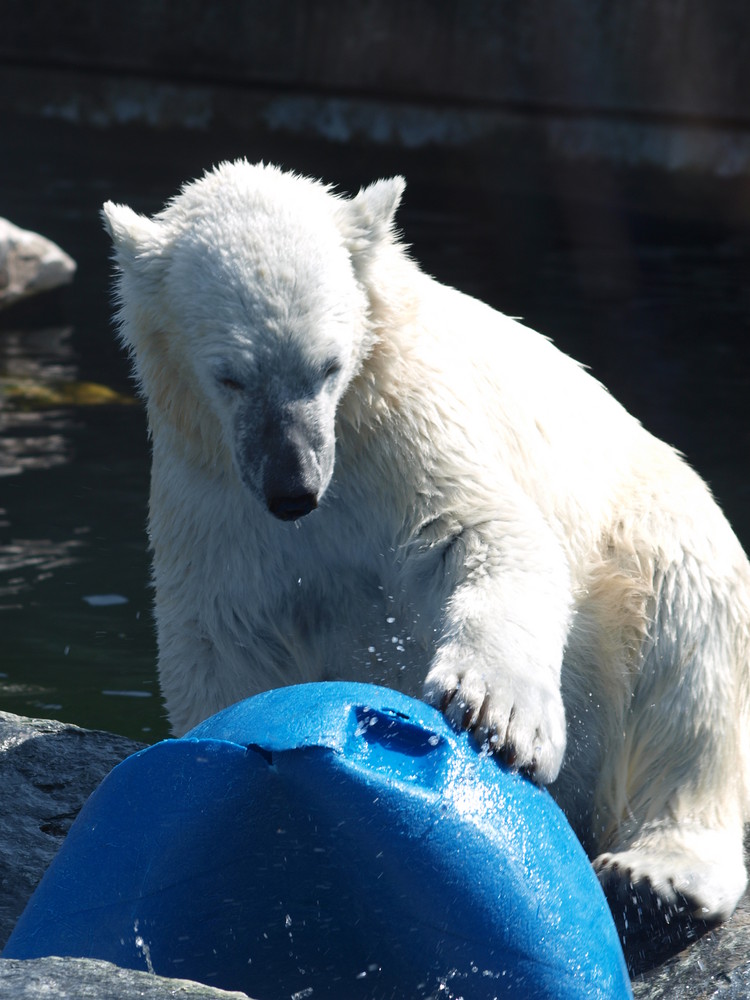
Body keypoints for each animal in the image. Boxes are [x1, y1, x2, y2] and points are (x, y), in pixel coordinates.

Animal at [104, 162, 750, 960]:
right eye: (231, 376)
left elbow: (485, 535)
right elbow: (224, 634)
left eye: (328, 366)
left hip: (654, 528)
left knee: (688, 655)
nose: (294, 488)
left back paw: (657, 878)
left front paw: (495, 715)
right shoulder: (212, 492)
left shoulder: (410, 424)